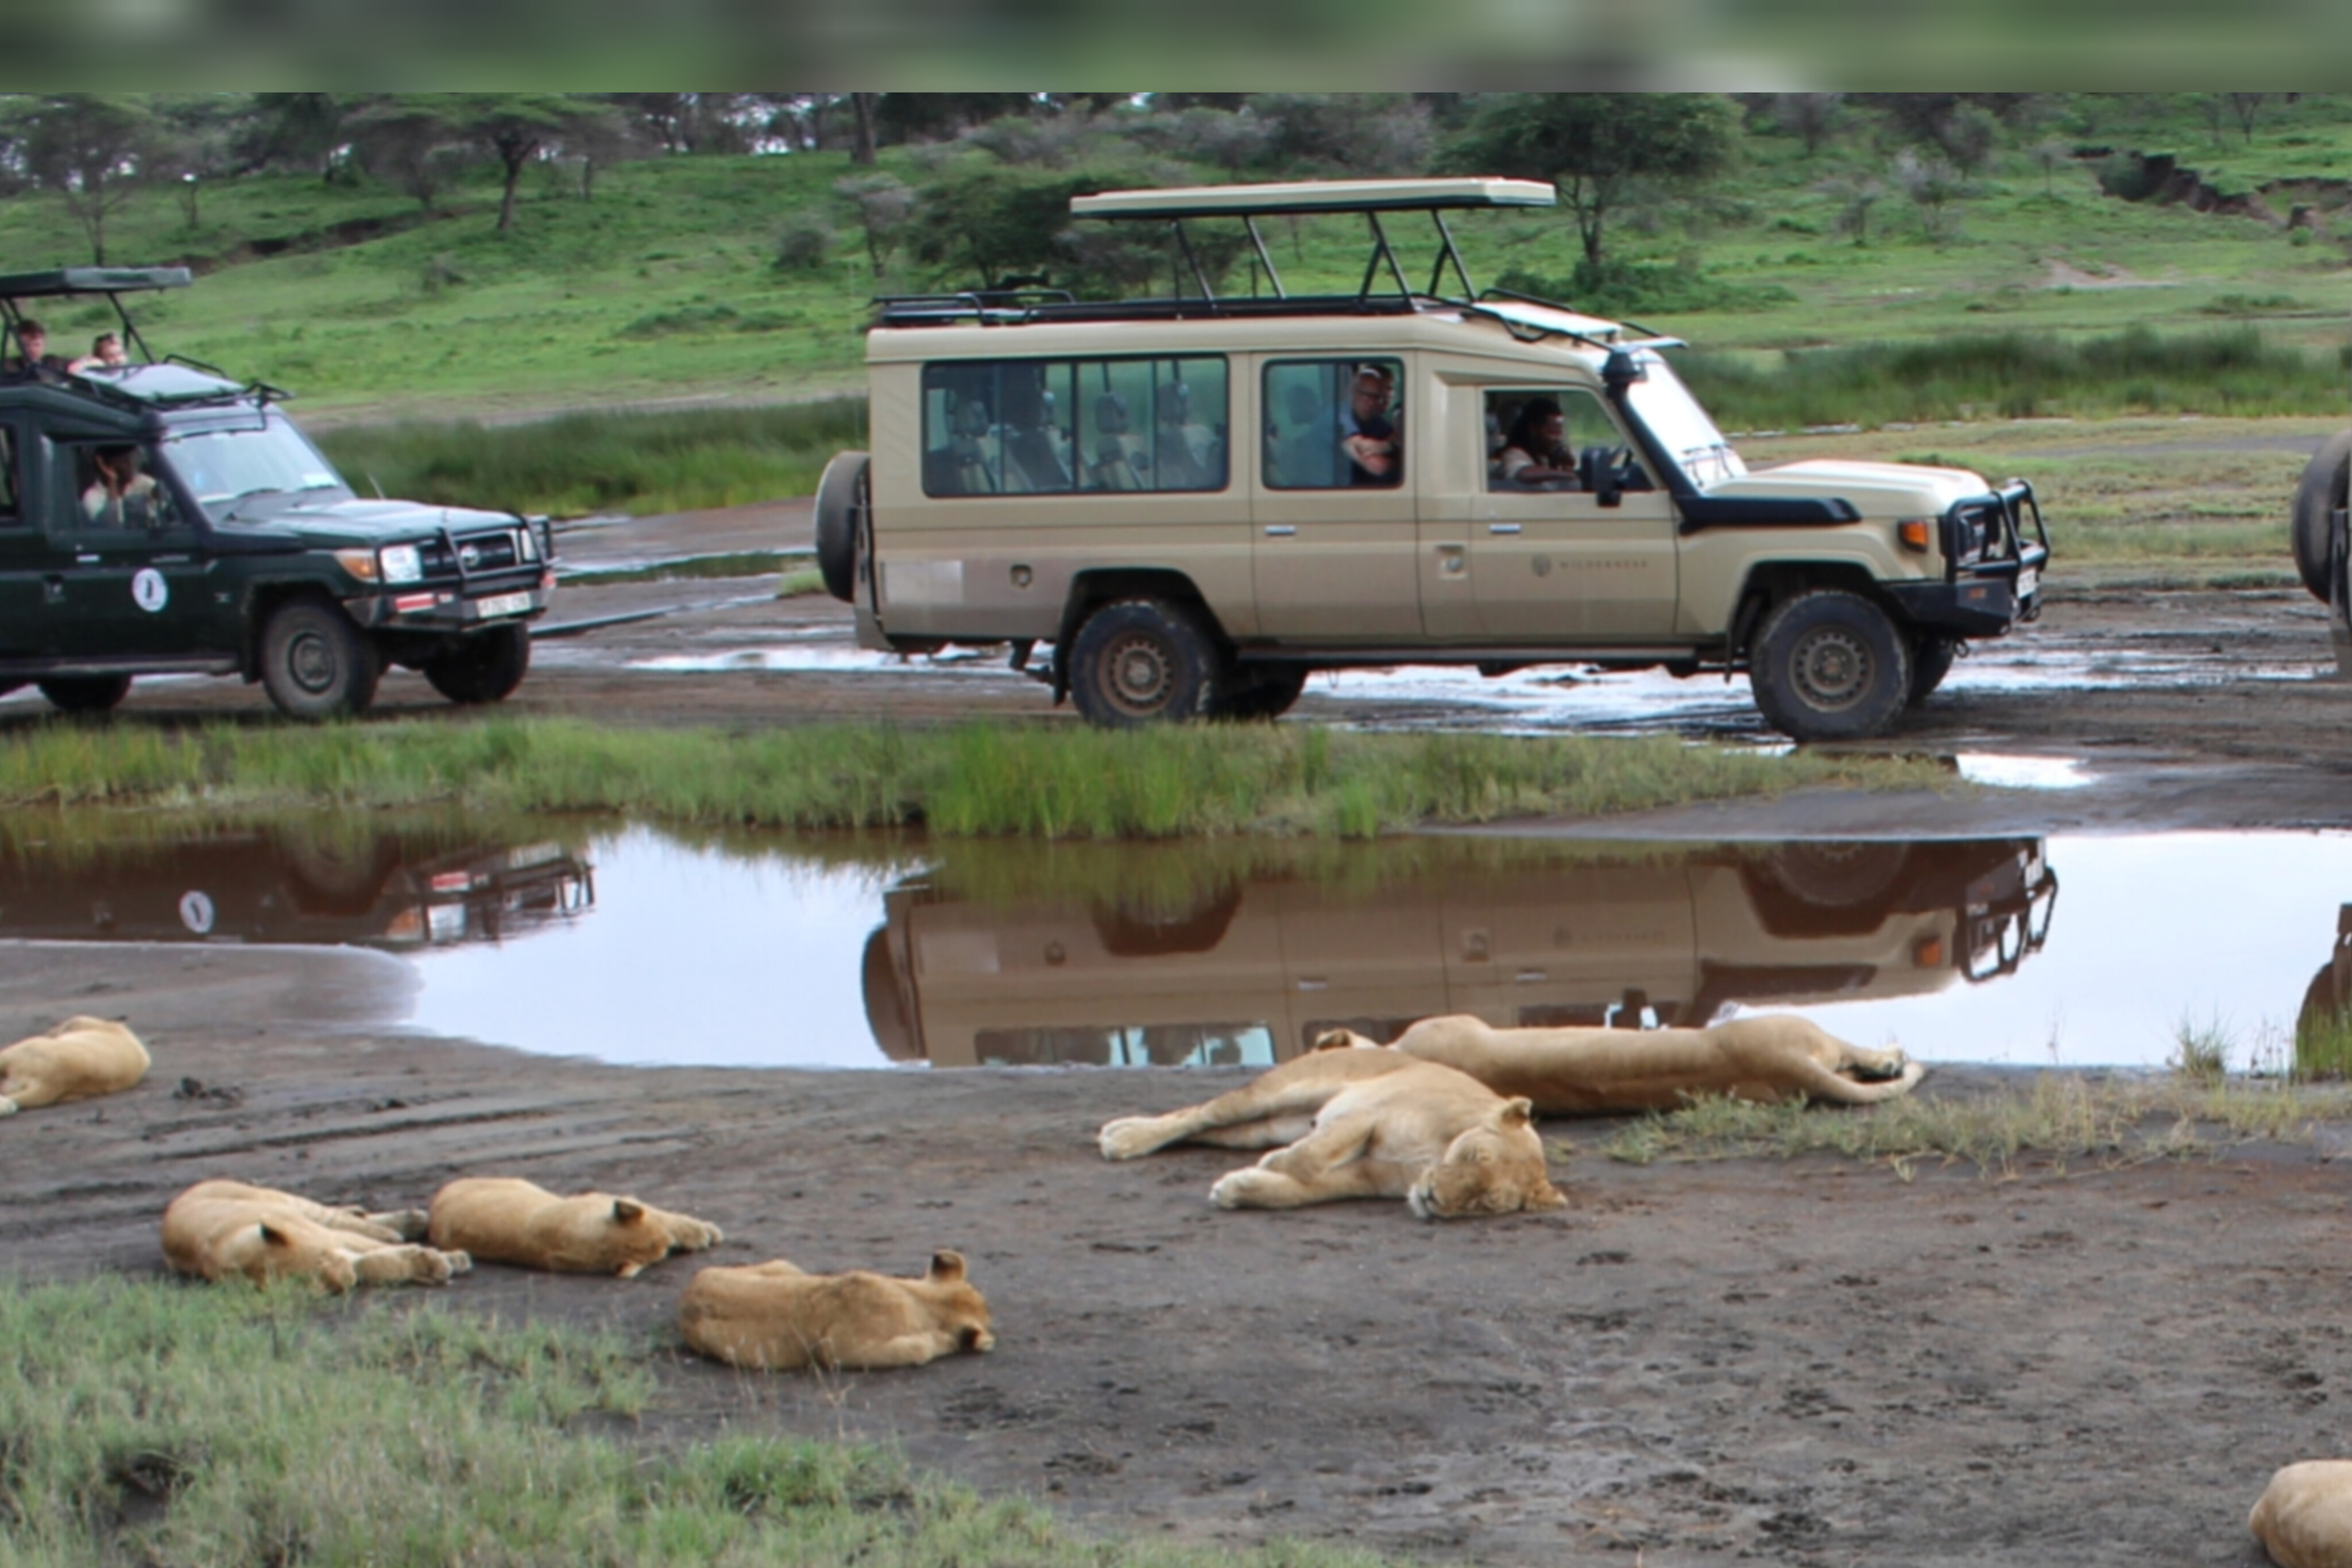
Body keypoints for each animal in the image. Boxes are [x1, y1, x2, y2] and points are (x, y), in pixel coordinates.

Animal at [161, 1179, 469, 1292]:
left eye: (321, 1258)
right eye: (318, 1280)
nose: (347, 1279)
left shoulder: (331, 1238)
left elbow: (371, 1247)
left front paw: (449, 1258)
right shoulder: (346, 1257)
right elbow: (380, 1263)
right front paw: (432, 1265)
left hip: (285, 1202)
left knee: (340, 1218)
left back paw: (403, 1225)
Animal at [1098, 1050, 1566, 1219]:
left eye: (1481, 1202)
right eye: (1473, 1156)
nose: (1432, 1198)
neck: (1428, 1160)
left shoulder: (1366, 1177)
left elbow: (1301, 1190)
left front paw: (1239, 1188)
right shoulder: (1369, 1114)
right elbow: (1309, 1157)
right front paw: (1274, 1164)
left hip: (1263, 1127)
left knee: (1215, 1130)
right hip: (1284, 1092)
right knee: (1200, 1114)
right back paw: (1122, 1137)